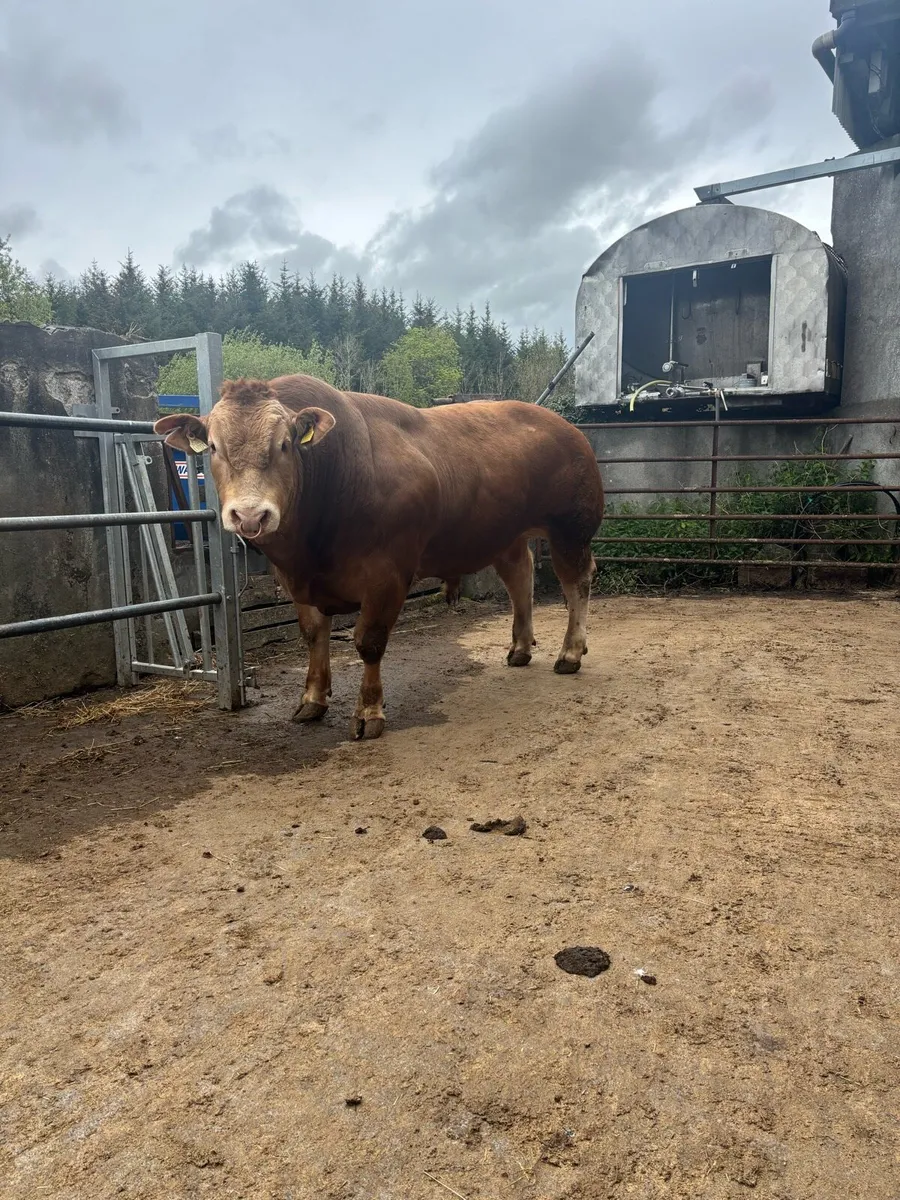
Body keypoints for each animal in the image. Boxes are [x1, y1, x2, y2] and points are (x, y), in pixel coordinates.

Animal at [155, 375, 604, 740]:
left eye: (283, 444)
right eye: (214, 447)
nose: (250, 515)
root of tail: (564, 426)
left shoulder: (387, 575)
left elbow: (368, 642)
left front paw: (369, 713)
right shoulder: (295, 578)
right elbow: (313, 635)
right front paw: (312, 699)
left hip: (571, 529)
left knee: (577, 582)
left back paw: (570, 653)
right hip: (506, 534)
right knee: (520, 578)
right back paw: (520, 648)